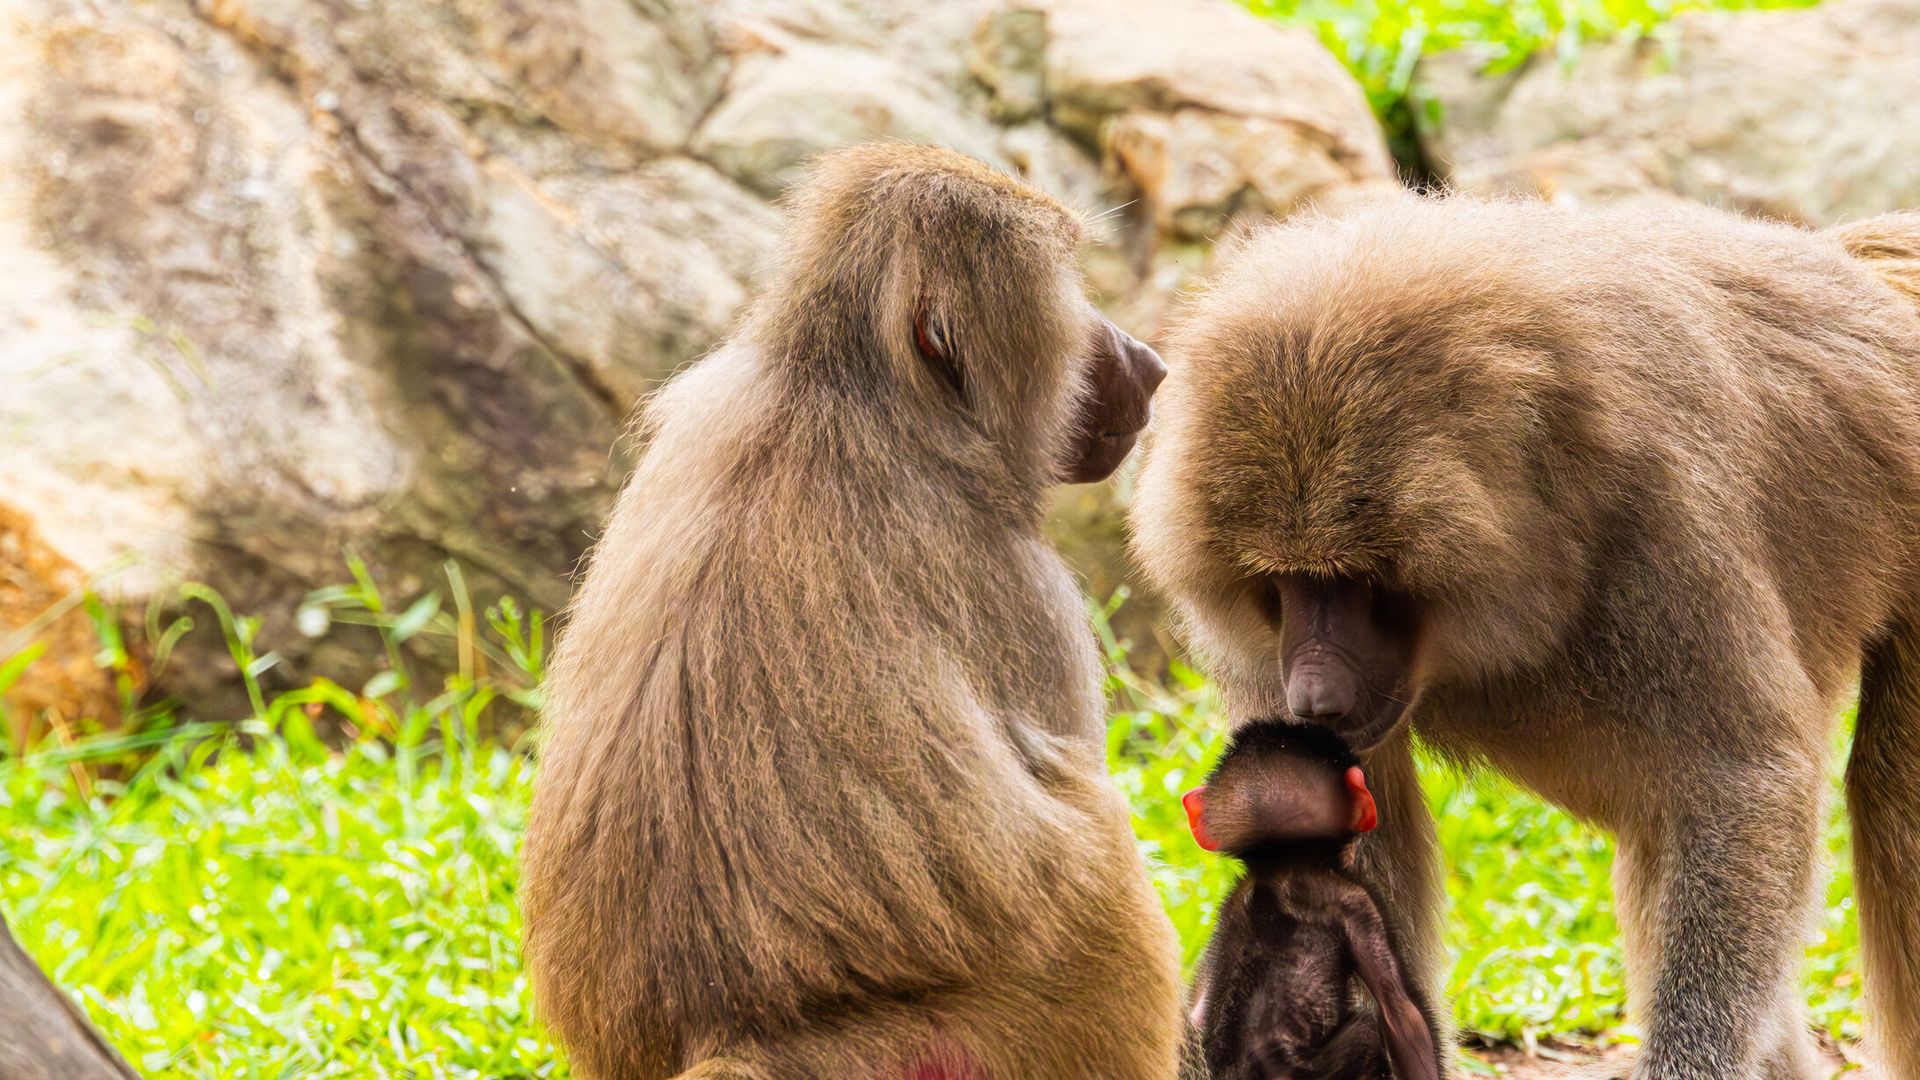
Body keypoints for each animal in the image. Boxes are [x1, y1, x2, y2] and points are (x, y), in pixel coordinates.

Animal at [518, 143, 1182, 1080]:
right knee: (1098, 844)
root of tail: (733, 1038)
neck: (850, 389)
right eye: (1068, 286)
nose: (1147, 361)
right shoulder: (1027, 590)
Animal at [1181, 718, 1442, 1080]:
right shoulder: (1357, 903)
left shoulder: (1229, 906)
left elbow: (1199, 1004)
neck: (1281, 861)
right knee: (1369, 1031)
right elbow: (1400, 1009)